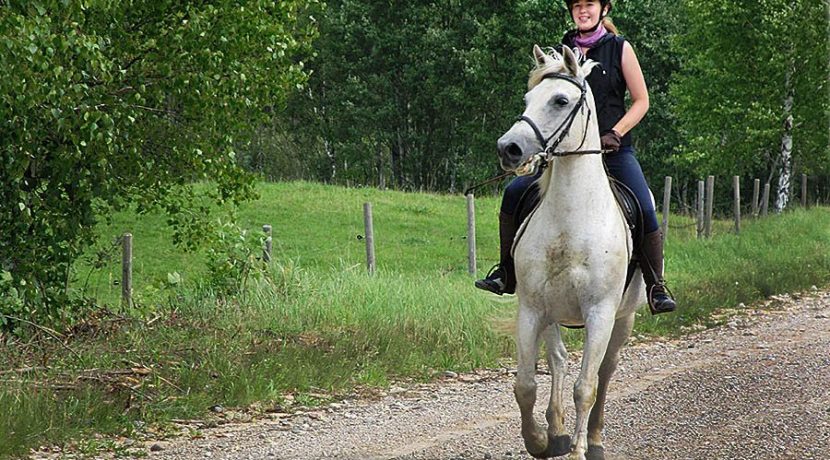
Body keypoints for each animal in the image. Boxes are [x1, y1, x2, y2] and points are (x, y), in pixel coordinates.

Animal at [498, 44, 648, 460]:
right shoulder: (532, 309)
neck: (571, 220)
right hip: (552, 316)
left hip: (623, 319)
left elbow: (587, 386)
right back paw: (557, 430)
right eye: (528, 99)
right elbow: (525, 384)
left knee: (605, 371)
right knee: (560, 362)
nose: (508, 148)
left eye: (560, 100)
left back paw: (593, 439)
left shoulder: (600, 313)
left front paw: (580, 449)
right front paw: (538, 441)